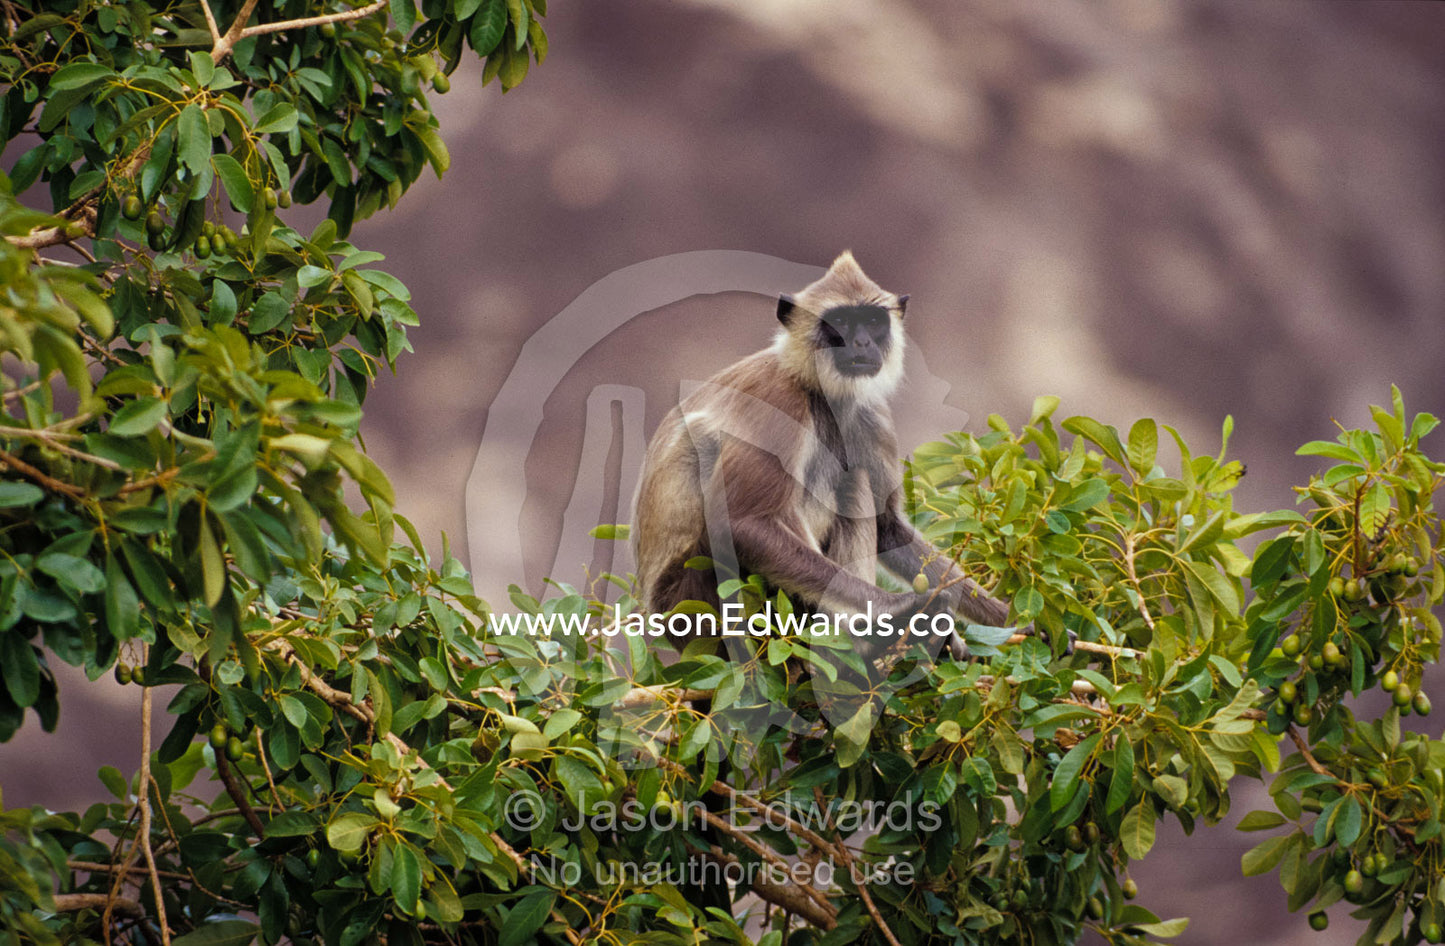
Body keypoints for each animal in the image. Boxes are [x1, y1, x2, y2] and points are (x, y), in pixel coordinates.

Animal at [632, 251, 1016, 661]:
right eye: (841, 321)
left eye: (873, 321)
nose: (861, 342)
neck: (815, 387)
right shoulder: (778, 396)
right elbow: (741, 522)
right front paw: (895, 611)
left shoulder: (869, 414)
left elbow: (889, 528)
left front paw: (1013, 620)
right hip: (699, 600)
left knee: (853, 482)